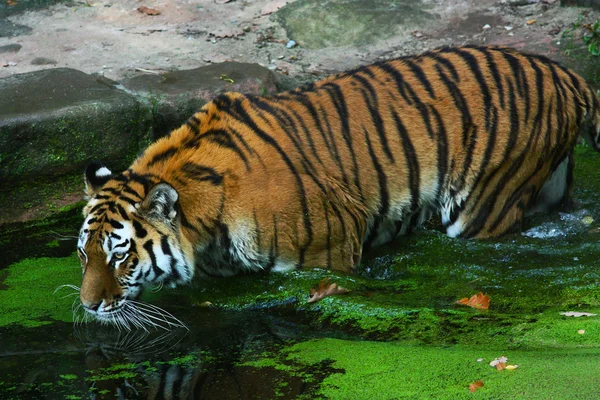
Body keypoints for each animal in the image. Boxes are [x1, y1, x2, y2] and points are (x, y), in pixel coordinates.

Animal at [77, 45, 600, 324]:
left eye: (120, 255)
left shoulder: (330, 249)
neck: (204, 228)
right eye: (84, 254)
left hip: (481, 206)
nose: (87, 306)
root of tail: (567, 72)